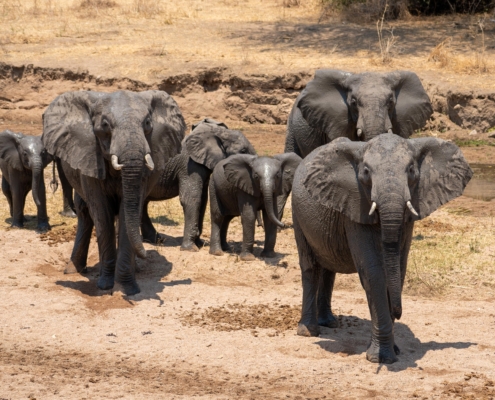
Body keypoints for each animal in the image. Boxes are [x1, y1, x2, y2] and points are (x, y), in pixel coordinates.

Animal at [42, 91, 186, 296]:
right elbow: (102, 214)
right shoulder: (90, 158)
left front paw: (127, 287)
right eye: (105, 125)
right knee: (85, 212)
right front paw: (105, 285)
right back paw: (73, 270)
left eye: (147, 123)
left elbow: (128, 212)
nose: (158, 243)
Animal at [140, 117, 256, 252]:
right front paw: (190, 248)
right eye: (243, 150)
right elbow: (191, 198)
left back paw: (155, 240)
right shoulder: (188, 165)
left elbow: (203, 200)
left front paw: (199, 244)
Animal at [292, 134, 474, 362]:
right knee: (310, 267)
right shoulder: (357, 203)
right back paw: (308, 331)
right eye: (366, 172)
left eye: (411, 170)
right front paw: (381, 358)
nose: (398, 312)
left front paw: (392, 351)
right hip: (297, 214)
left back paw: (330, 323)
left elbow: (398, 270)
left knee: (328, 269)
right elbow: (374, 273)